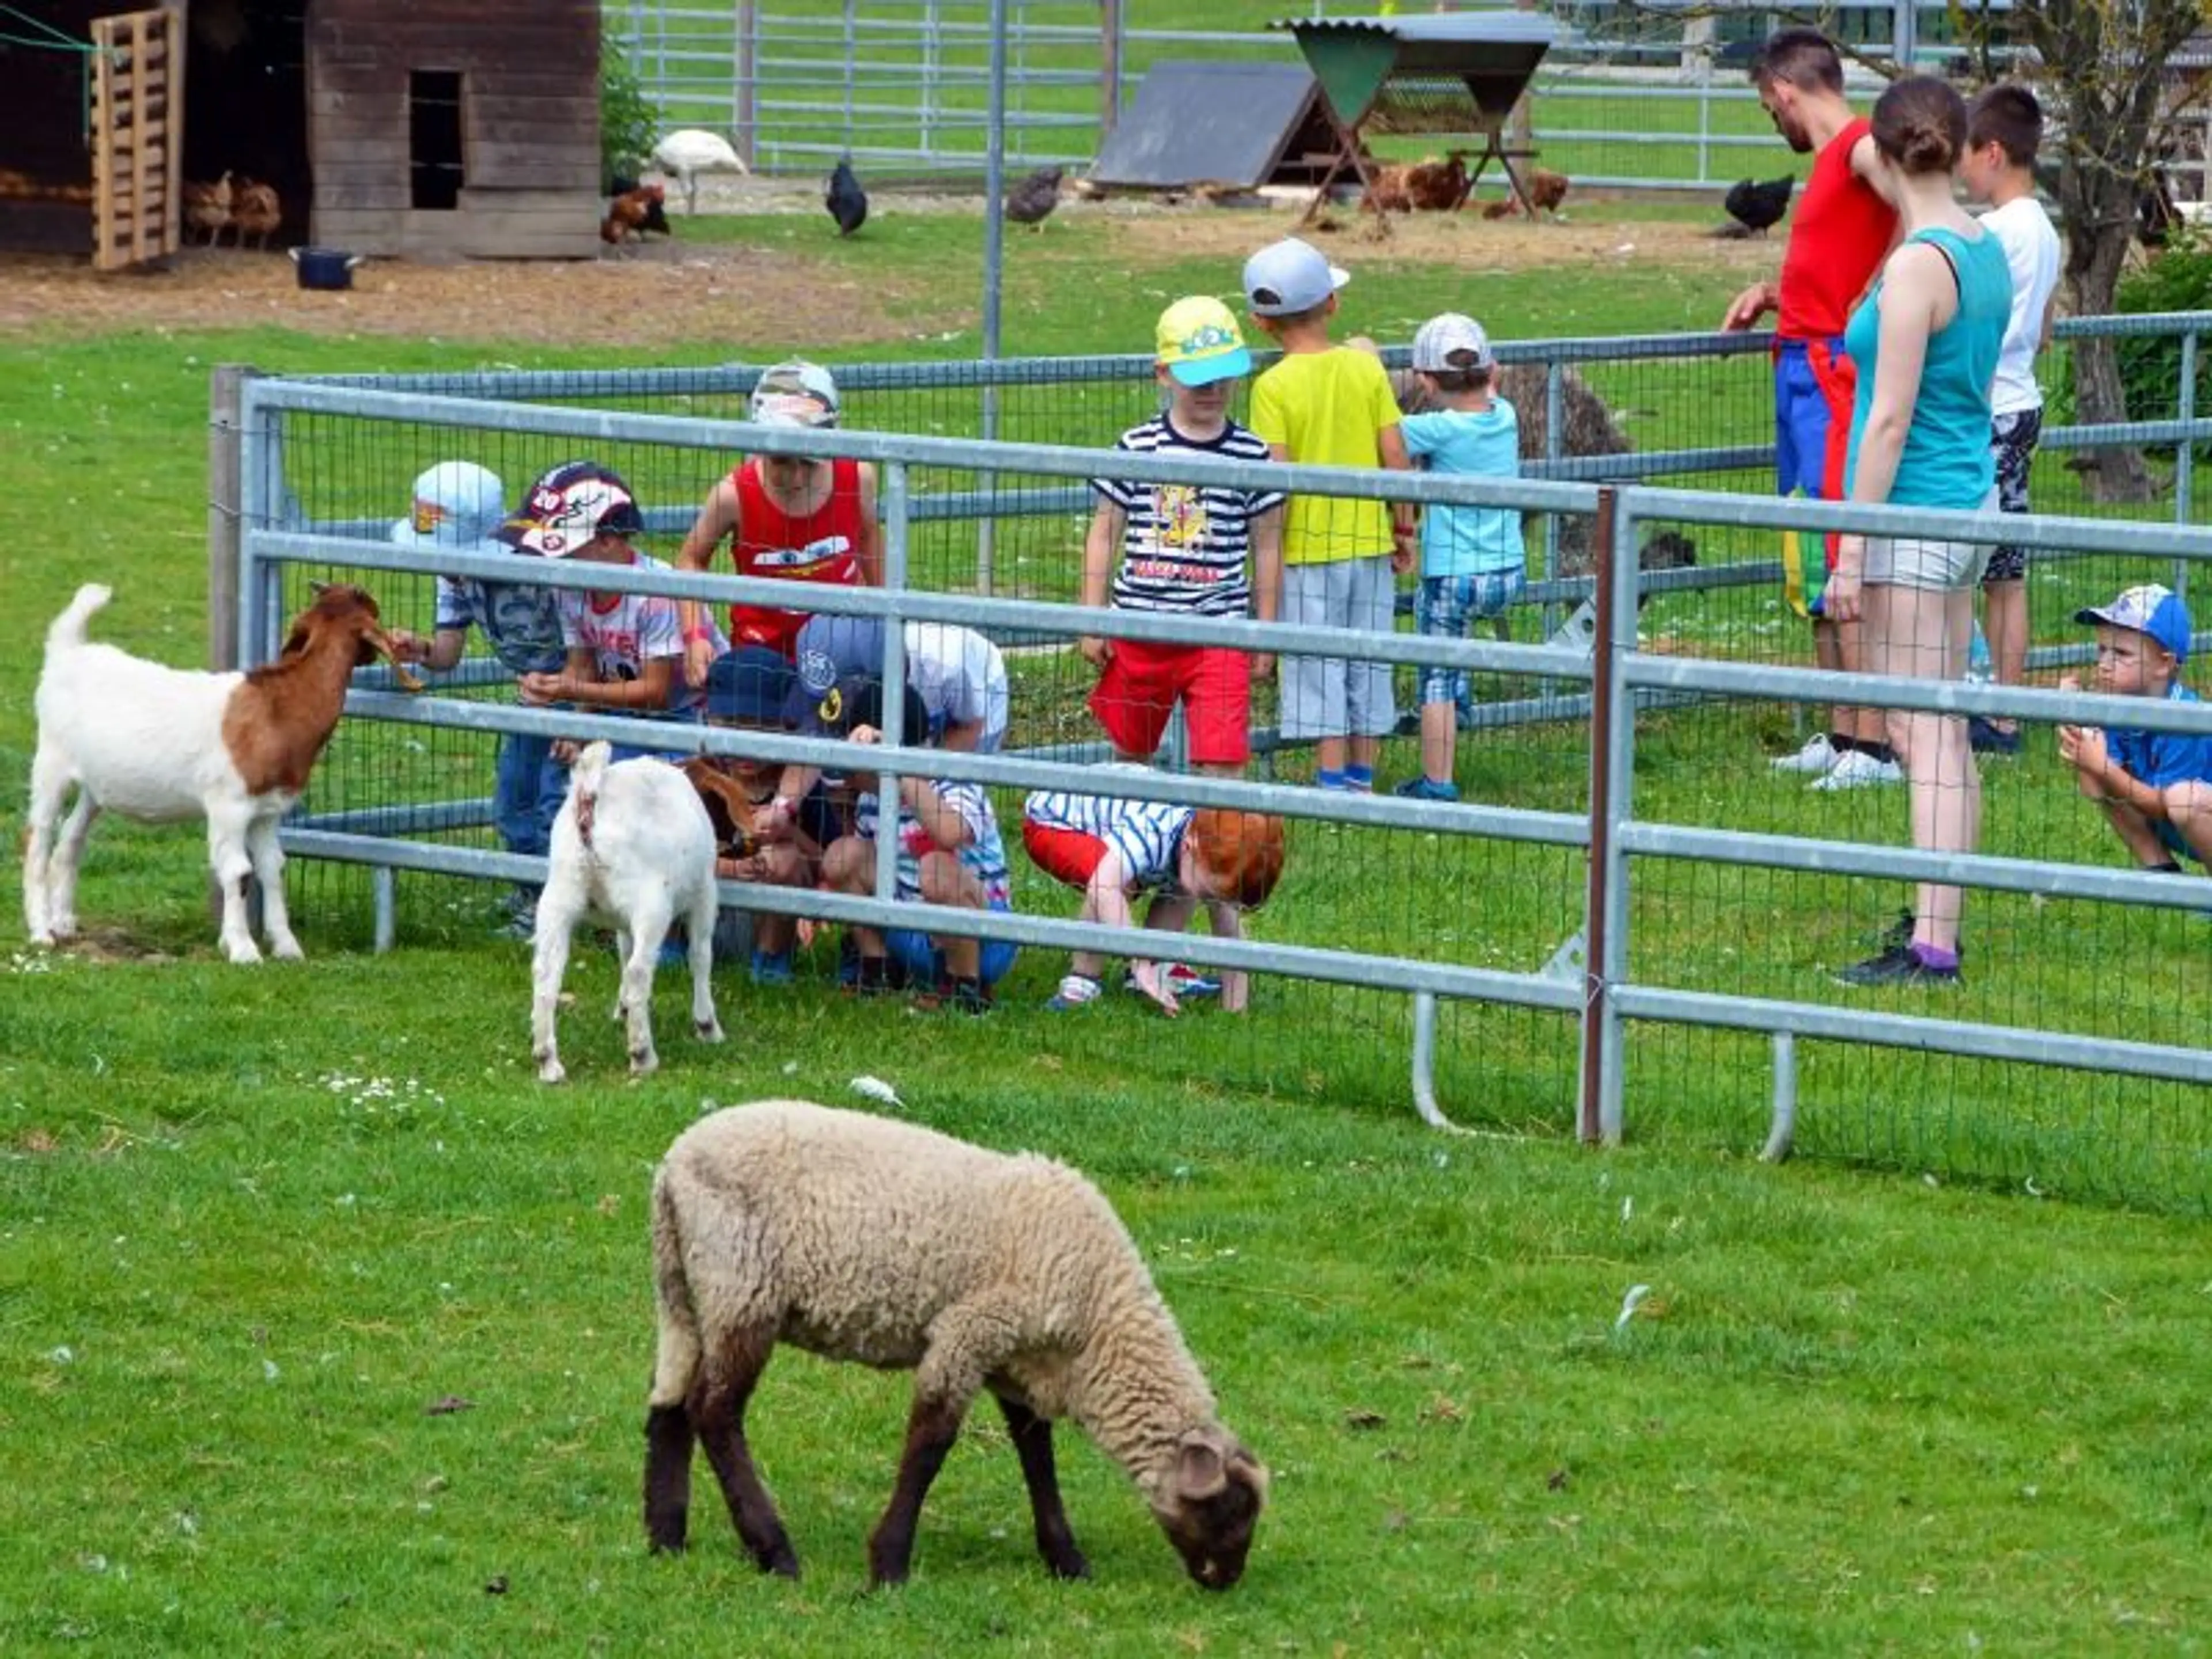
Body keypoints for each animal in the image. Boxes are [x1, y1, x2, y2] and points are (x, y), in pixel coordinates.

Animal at [24, 584, 415, 968]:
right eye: (374, 611)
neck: (278, 709)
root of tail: (69, 650)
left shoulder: (268, 811)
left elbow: (272, 868)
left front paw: (286, 946)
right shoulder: (230, 806)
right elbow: (238, 871)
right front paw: (242, 949)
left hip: (95, 785)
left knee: (71, 838)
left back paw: (64, 922)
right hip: (51, 763)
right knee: (38, 838)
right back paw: (41, 931)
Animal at [528, 743, 721, 1092]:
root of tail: (590, 797)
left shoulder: (620, 919)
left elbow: (622, 951)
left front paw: (623, 1008)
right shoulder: (704, 893)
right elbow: (700, 955)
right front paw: (707, 1025)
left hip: (558, 896)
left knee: (546, 974)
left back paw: (548, 1061)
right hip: (651, 902)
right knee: (639, 970)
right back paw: (643, 1054)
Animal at [641, 1106, 1265, 1601]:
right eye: (1230, 1509)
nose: (1226, 1580)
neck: (1097, 1325)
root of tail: (673, 1168)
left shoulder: (1013, 1358)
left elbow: (1035, 1452)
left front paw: (1066, 1560)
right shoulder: (969, 1330)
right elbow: (932, 1441)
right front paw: (889, 1565)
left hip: (687, 1290)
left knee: (670, 1402)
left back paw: (667, 1538)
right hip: (743, 1287)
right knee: (715, 1412)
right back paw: (774, 1551)